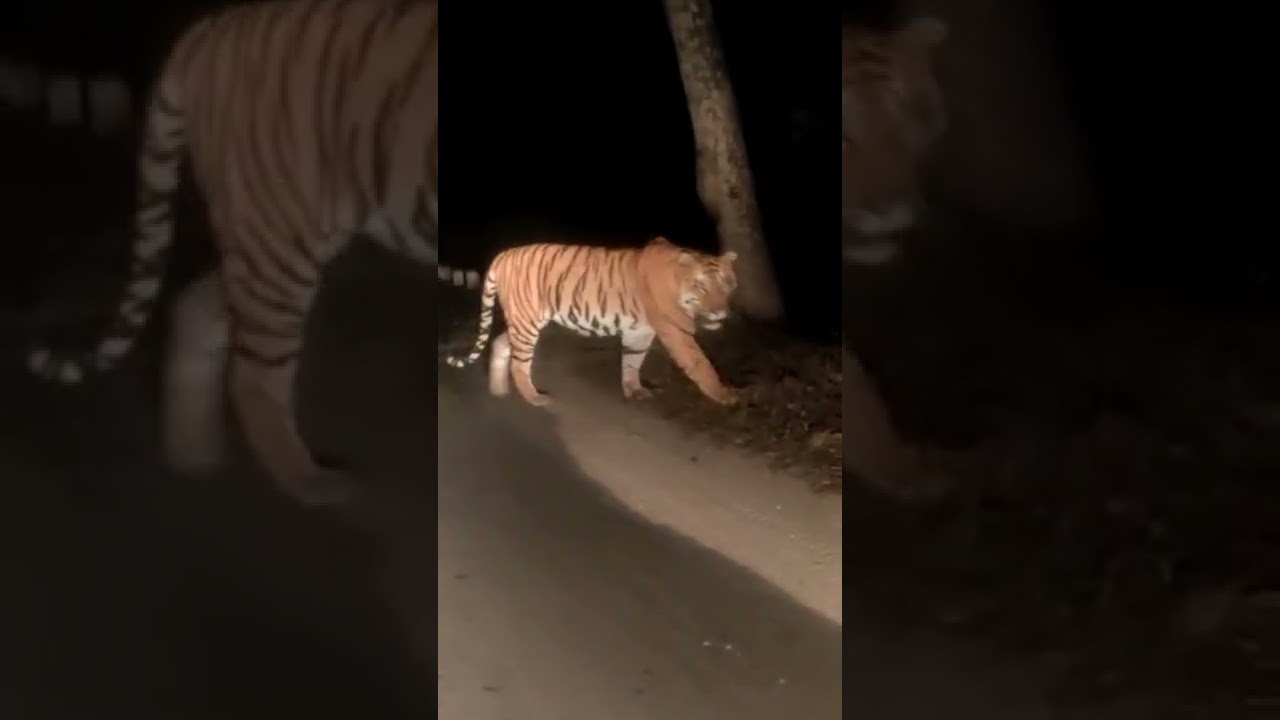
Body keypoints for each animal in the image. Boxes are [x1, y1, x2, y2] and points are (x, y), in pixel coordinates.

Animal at [26, 0, 439, 506]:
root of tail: (212, 26)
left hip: (269, 239)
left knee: (195, 310)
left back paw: (193, 458)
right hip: (278, 241)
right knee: (252, 376)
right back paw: (313, 483)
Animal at [441, 237, 740, 407]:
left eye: (726, 284)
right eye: (702, 287)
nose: (720, 312)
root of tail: (504, 254)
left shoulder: (639, 332)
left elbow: (632, 361)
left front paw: (634, 391)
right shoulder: (676, 329)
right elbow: (700, 363)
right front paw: (725, 395)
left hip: (522, 320)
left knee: (501, 343)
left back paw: (499, 390)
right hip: (526, 323)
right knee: (519, 362)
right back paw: (534, 397)